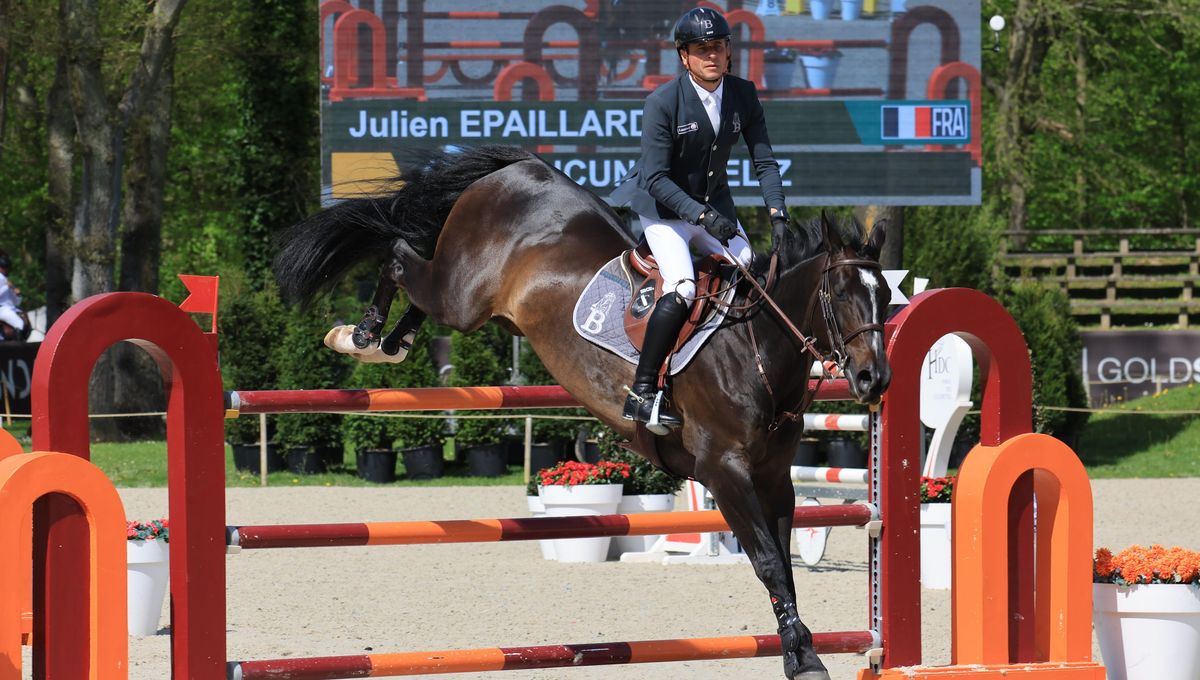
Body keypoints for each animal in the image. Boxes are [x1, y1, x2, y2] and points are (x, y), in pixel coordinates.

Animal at [274, 145, 892, 680]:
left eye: (885, 297)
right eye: (840, 295)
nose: (875, 379)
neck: (753, 346)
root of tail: (521, 169)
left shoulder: (773, 477)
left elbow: (783, 563)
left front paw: (799, 650)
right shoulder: (725, 470)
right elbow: (765, 560)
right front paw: (802, 656)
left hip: (472, 302)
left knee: (415, 282)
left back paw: (389, 343)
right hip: (463, 294)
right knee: (401, 257)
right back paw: (360, 335)